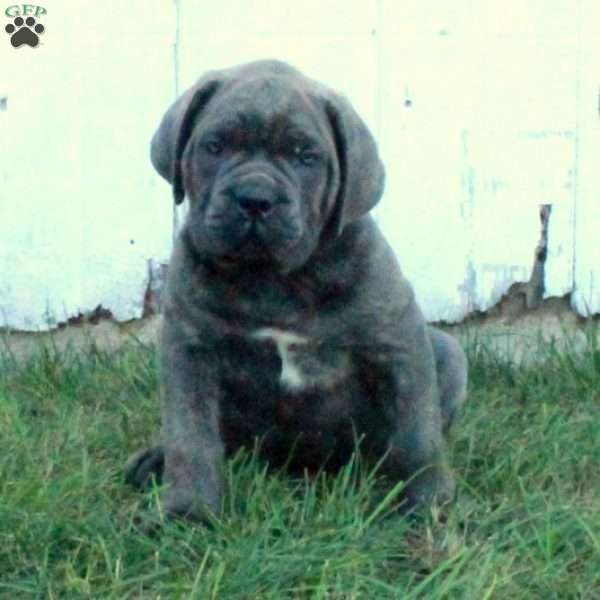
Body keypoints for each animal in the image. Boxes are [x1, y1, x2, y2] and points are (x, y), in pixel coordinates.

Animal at [124, 59, 466, 520]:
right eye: (216, 145)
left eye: (306, 156)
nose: (255, 197)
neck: (273, 279)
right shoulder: (190, 348)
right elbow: (190, 435)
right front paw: (188, 510)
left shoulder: (398, 342)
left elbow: (417, 434)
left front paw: (427, 504)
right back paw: (154, 460)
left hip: (448, 351)